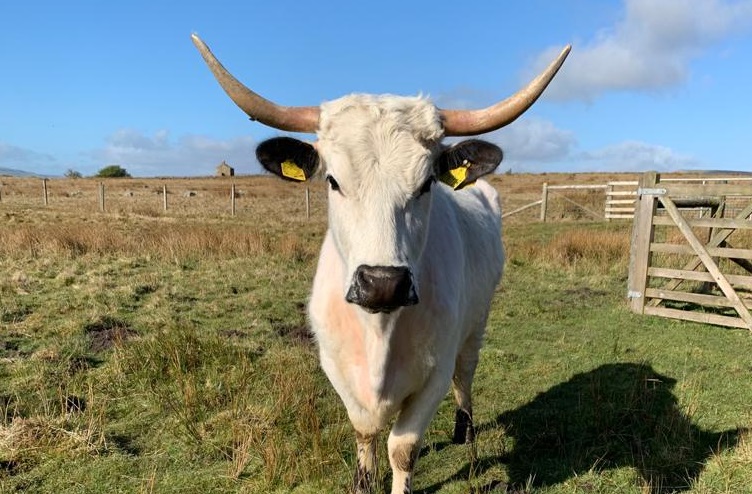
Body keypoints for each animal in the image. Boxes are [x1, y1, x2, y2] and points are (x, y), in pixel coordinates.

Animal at [194, 34, 568, 494]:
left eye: (427, 183)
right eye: (332, 181)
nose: (382, 282)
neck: (379, 333)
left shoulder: (433, 377)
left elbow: (402, 448)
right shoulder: (337, 368)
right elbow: (364, 430)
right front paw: (362, 478)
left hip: (476, 323)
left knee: (466, 375)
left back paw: (464, 430)